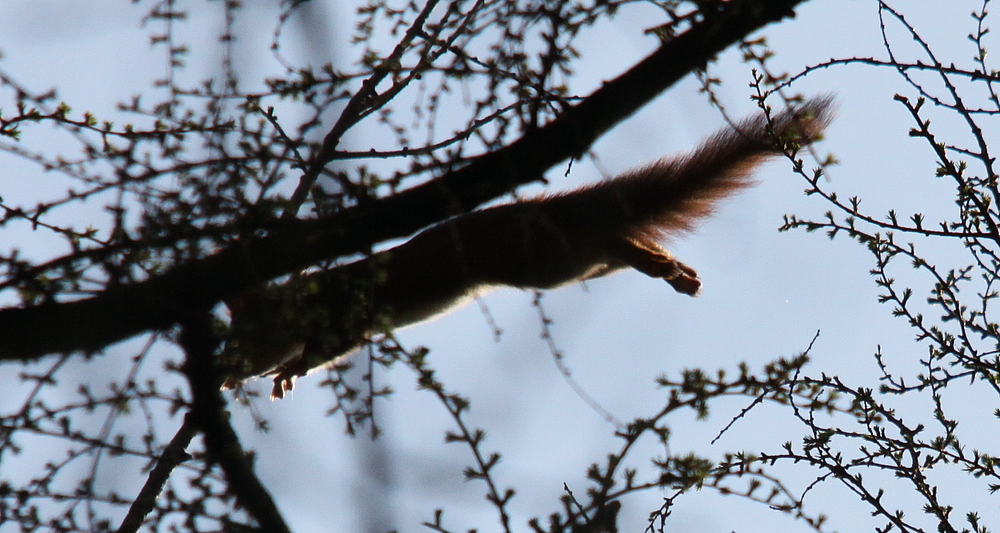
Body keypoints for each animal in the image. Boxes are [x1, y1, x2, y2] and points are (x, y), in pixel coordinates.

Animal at [223, 95, 832, 396]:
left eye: (245, 340)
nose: (227, 375)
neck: (312, 296)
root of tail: (560, 207)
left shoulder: (346, 316)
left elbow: (331, 349)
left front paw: (287, 373)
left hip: (542, 259)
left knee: (612, 241)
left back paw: (661, 265)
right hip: (577, 263)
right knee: (618, 248)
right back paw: (673, 269)